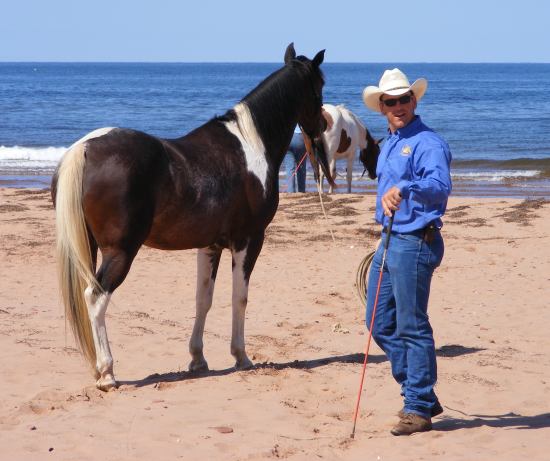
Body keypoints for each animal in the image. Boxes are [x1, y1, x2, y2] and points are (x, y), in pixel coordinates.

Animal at [51, 43, 334, 390]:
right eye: (319, 86)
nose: (322, 127)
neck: (250, 145)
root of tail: (86, 148)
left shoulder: (209, 245)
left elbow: (204, 299)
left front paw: (198, 359)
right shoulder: (248, 240)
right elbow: (240, 297)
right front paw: (241, 356)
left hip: (89, 248)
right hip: (120, 252)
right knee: (96, 296)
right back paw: (106, 372)